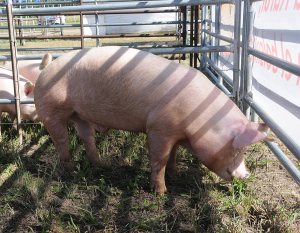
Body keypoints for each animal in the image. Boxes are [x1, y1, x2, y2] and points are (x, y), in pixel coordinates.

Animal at [34, 46, 274, 195]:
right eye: (237, 150)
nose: (247, 175)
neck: (199, 120)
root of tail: (45, 68)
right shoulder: (159, 127)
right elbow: (159, 159)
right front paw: (161, 192)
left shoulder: (175, 132)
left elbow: (173, 155)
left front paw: (177, 174)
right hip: (50, 109)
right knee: (61, 141)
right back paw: (71, 172)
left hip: (80, 115)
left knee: (87, 136)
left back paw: (100, 164)